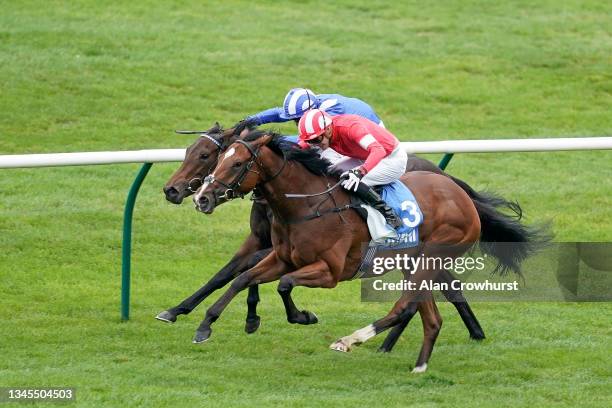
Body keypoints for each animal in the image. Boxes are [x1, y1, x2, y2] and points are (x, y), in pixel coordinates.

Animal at [192, 131, 544, 372]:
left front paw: (303, 316)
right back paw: (419, 366)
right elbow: (243, 279)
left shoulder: (330, 272)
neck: (305, 206)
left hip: (432, 256)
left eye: (237, 163)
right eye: (218, 159)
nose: (201, 198)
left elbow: (284, 285)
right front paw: (205, 326)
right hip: (414, 261)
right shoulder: (281, 258)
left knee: (404, 307)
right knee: (428, 315)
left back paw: (351, 340)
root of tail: (461, 194)